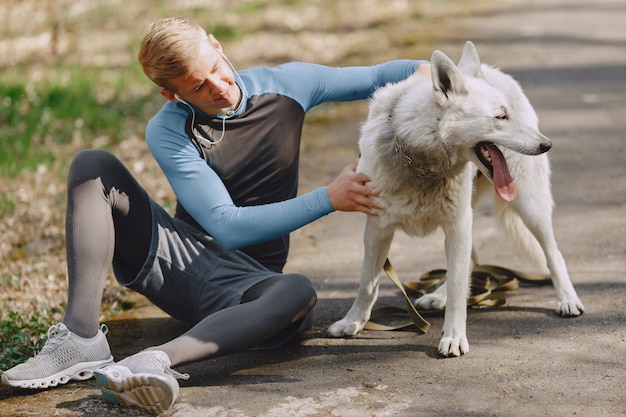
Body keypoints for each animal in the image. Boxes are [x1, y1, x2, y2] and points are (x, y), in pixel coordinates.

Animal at [324, 41, 584, 354]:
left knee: (553, 253)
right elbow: (367, 283)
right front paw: (353, 322)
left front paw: (454, 337)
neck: (419, 163)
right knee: (470, 262)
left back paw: (567, 299)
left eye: (508, 114)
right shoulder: (377, 230)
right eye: (501, 117)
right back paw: (437, 296)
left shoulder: (457, 226)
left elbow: (459, 289)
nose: (548, 144)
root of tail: (493, 71)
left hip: (529, 207)